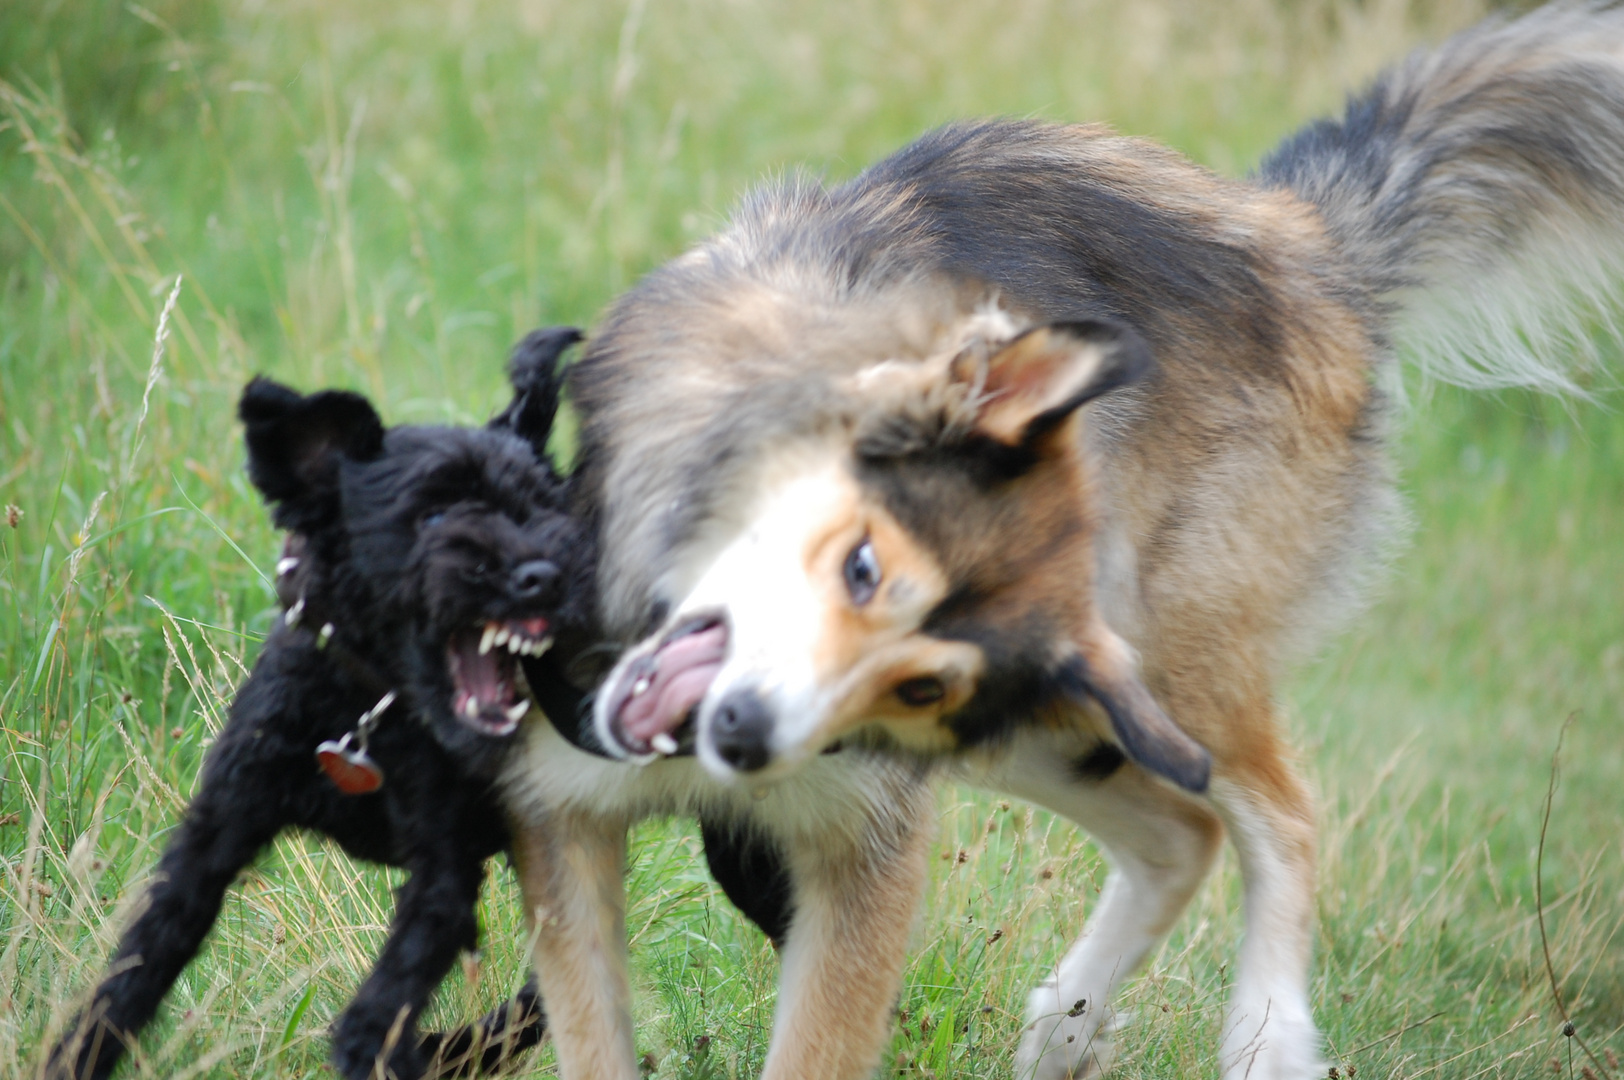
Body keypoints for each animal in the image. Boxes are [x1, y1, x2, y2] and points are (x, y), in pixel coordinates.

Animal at [42, 331, 591, 1078]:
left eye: (542, 506)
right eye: (434, 513)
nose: (546, 574)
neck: (367, 705)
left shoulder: (443, 869)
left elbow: (387, 996)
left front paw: (381, 1053)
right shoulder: (217, 832)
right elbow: (136, 969)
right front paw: (75, 1055)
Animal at [503, 8, 1624, 1078]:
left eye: (917, 684)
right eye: (860, 566)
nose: (745, 734)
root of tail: (1310, 242)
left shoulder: (866, 850)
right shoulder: (564, 833)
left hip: (1164, 671)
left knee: (1284, 816)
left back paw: (1264, 1040)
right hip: (1068, 712)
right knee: (1185, 832)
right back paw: (1066, 1032)